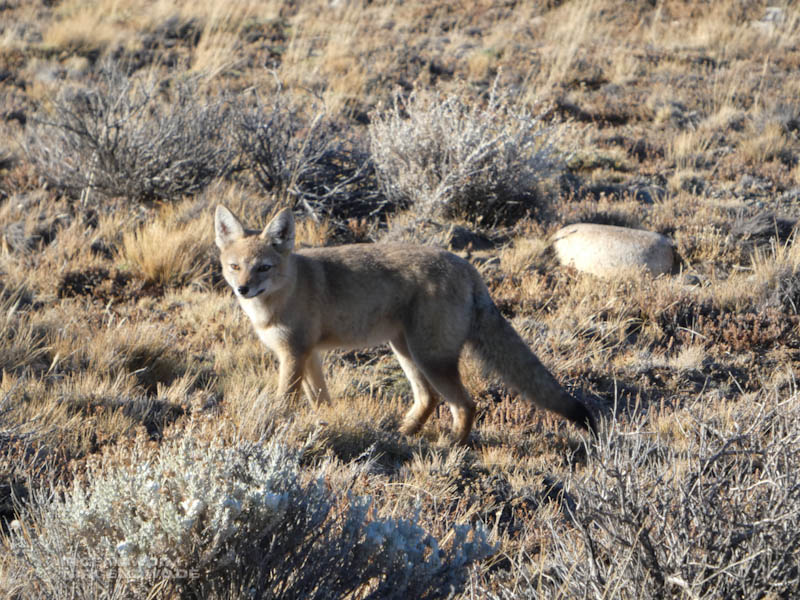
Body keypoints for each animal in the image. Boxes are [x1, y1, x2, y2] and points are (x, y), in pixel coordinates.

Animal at [214, 204, 596, 444]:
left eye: (263, 267)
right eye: (235, 266)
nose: (243, 289)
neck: (282, 295)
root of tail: (468, 268)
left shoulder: (293, 354)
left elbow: (284, 401)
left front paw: (273, 427)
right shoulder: (310, 355)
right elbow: (321, 400)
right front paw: (328, 425)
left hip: (430, 358)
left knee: (465, 404)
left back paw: (452, 448)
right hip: (406, 351)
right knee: (429, 399)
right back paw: (405, 434)